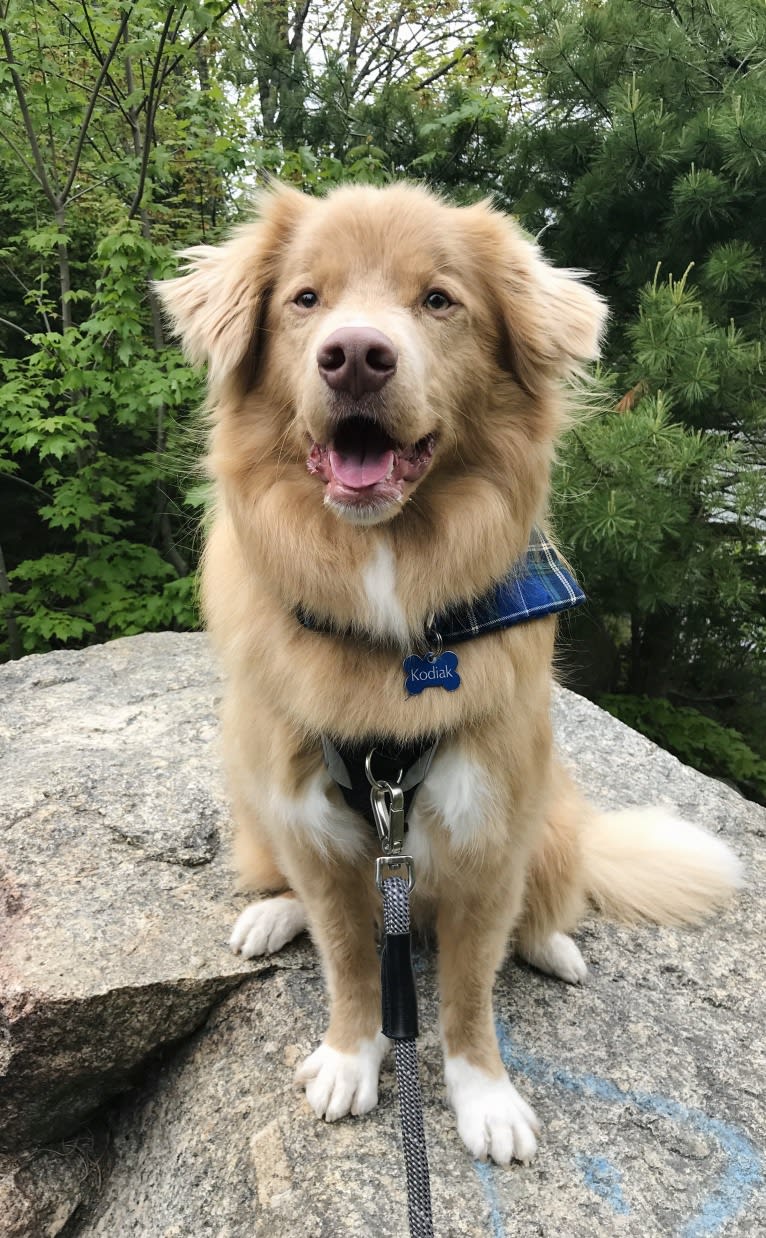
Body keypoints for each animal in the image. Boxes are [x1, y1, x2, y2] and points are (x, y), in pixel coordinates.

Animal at [157, 180, 742, 1158]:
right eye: (305, 300)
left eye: (439, 300)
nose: (355, 356)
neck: (389, 590)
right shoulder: (318, 828)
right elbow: (350, 960)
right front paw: (351, 1056)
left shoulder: (488, 835)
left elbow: (469, 991)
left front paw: (485, 1097)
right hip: (251, 779)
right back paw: (272, 914)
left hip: (550, 815)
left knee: (549, 899)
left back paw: (552, 946)